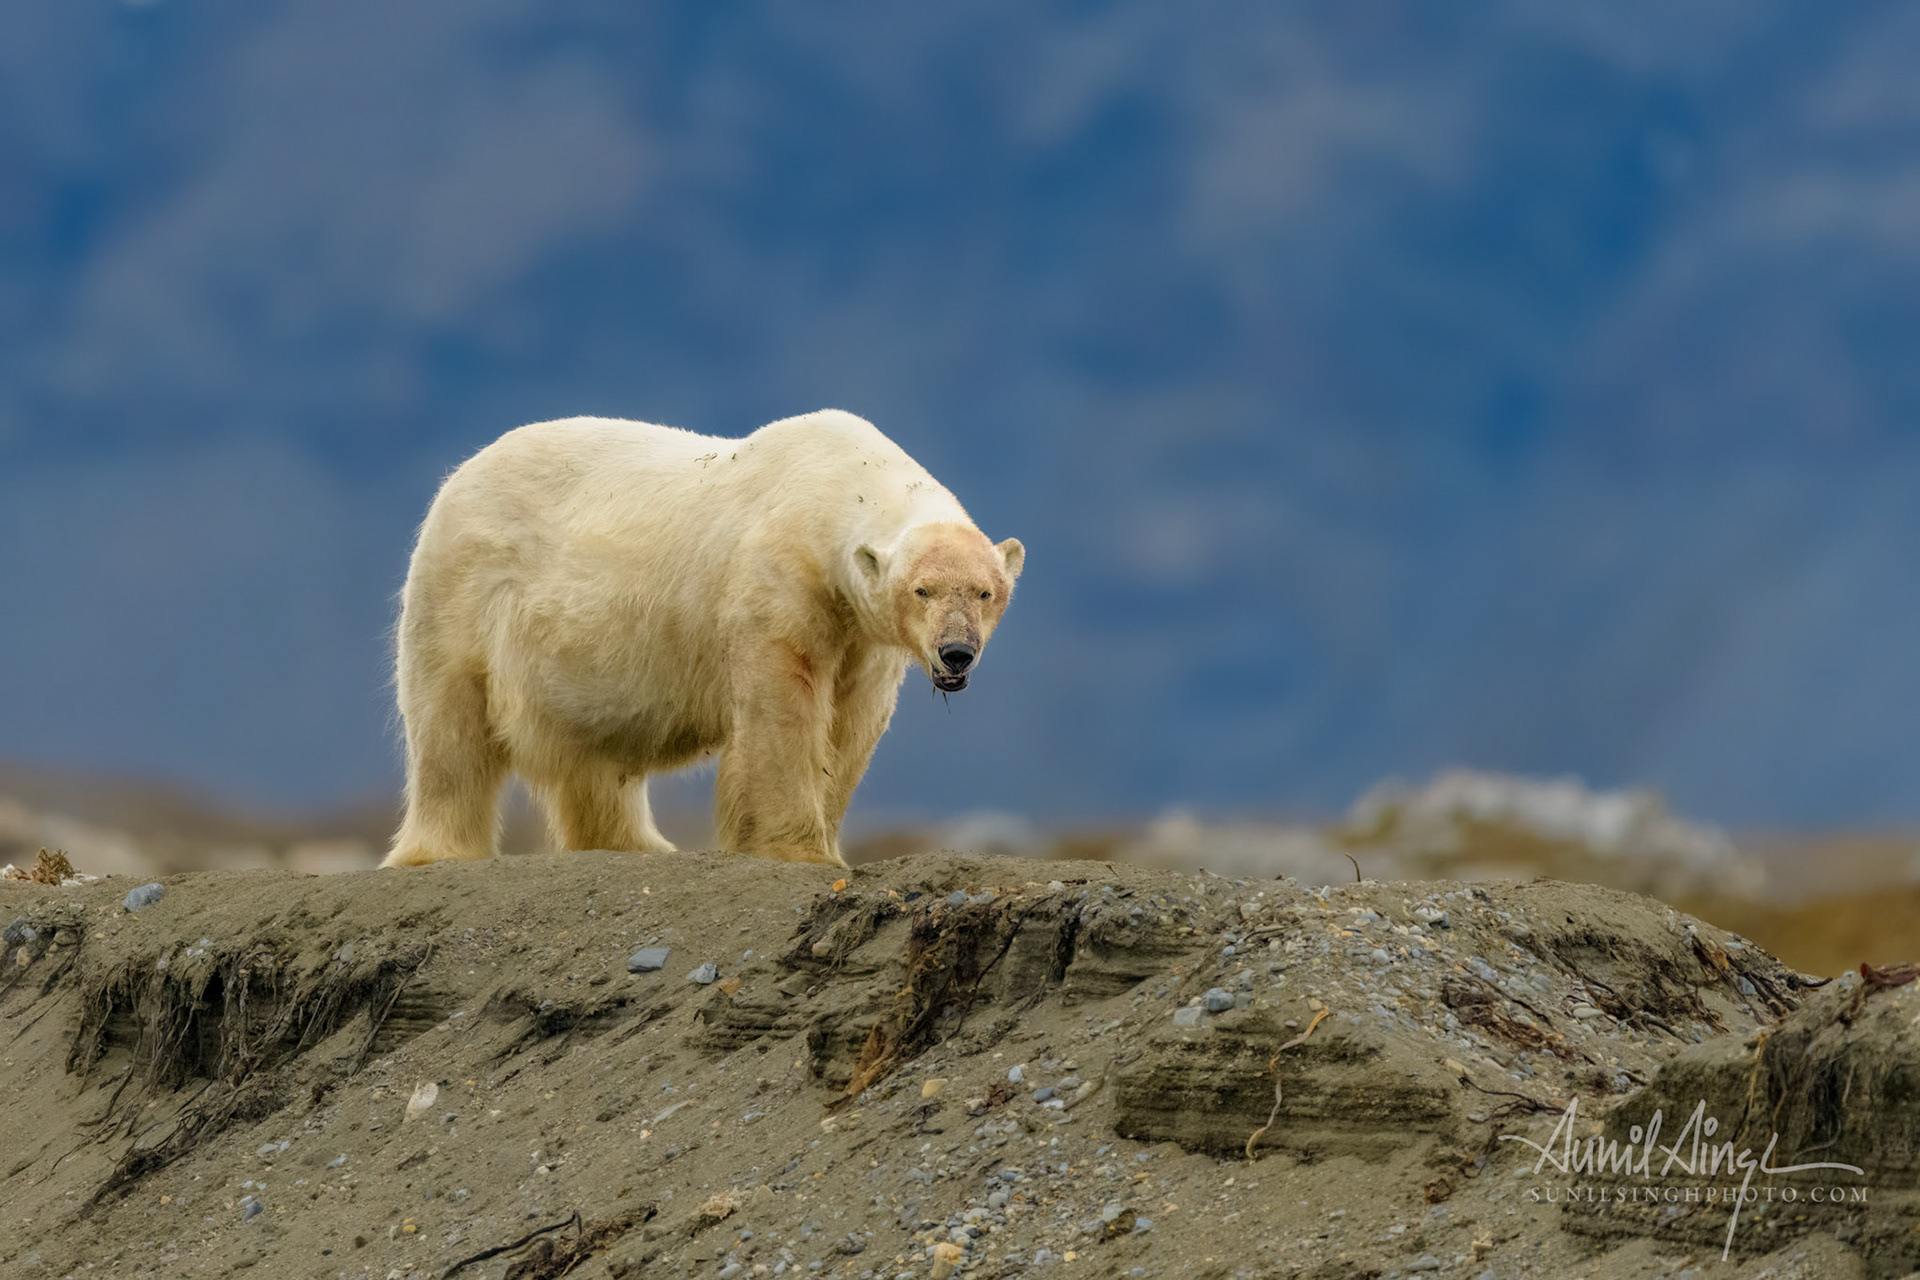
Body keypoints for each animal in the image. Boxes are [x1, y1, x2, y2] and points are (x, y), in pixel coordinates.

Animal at [382, 409, 1024, 869]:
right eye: (922, 590)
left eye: (985, 592)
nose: (956, 653)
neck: (837, 484)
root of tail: (459, 477)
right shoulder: (781, 578)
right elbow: (784, 705)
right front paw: (795, 850)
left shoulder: (864, 634)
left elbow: (852, 721)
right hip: (465, 587)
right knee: (451, 726)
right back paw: (438, 851)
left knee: (593, 749)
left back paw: (638, 844)